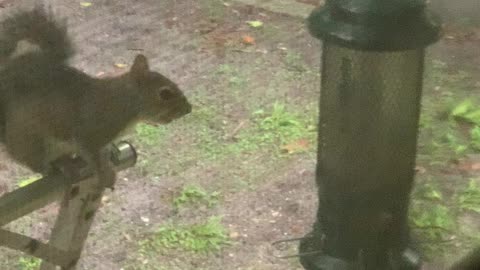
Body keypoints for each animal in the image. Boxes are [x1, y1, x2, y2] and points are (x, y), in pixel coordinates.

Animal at [0, 6, 192, 188]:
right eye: (165, 94)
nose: (188, 109)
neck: (123, 101)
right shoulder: (90, 131)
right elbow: (92, 153)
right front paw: (105, 174)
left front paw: (112, 151)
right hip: (34, 141)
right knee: (38, 164)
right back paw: (60, 165)